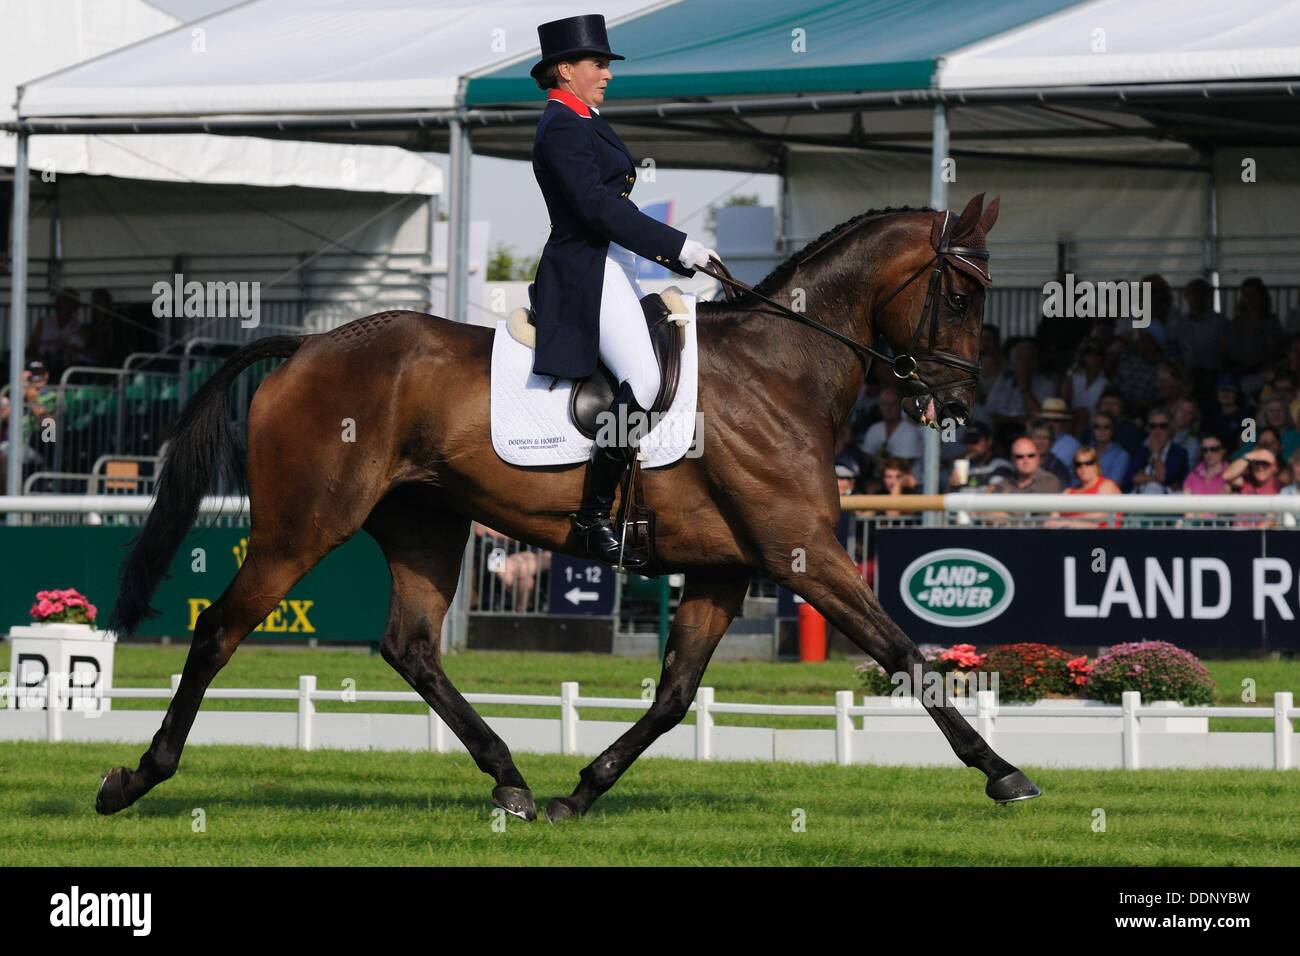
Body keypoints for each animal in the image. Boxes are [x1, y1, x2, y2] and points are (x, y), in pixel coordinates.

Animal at [96, 191, 1040, 816]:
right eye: (960, 296)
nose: (958, 406)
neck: (780, 369)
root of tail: (306, 346)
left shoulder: (724, 569)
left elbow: (673, 696)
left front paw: (581, 792)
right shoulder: (800, 551)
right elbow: (905, 653)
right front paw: (1003, 772)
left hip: (426, 525)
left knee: (410, 647)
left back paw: (511, 781)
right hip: (302, 527)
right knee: (219, 629)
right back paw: (136, 777)